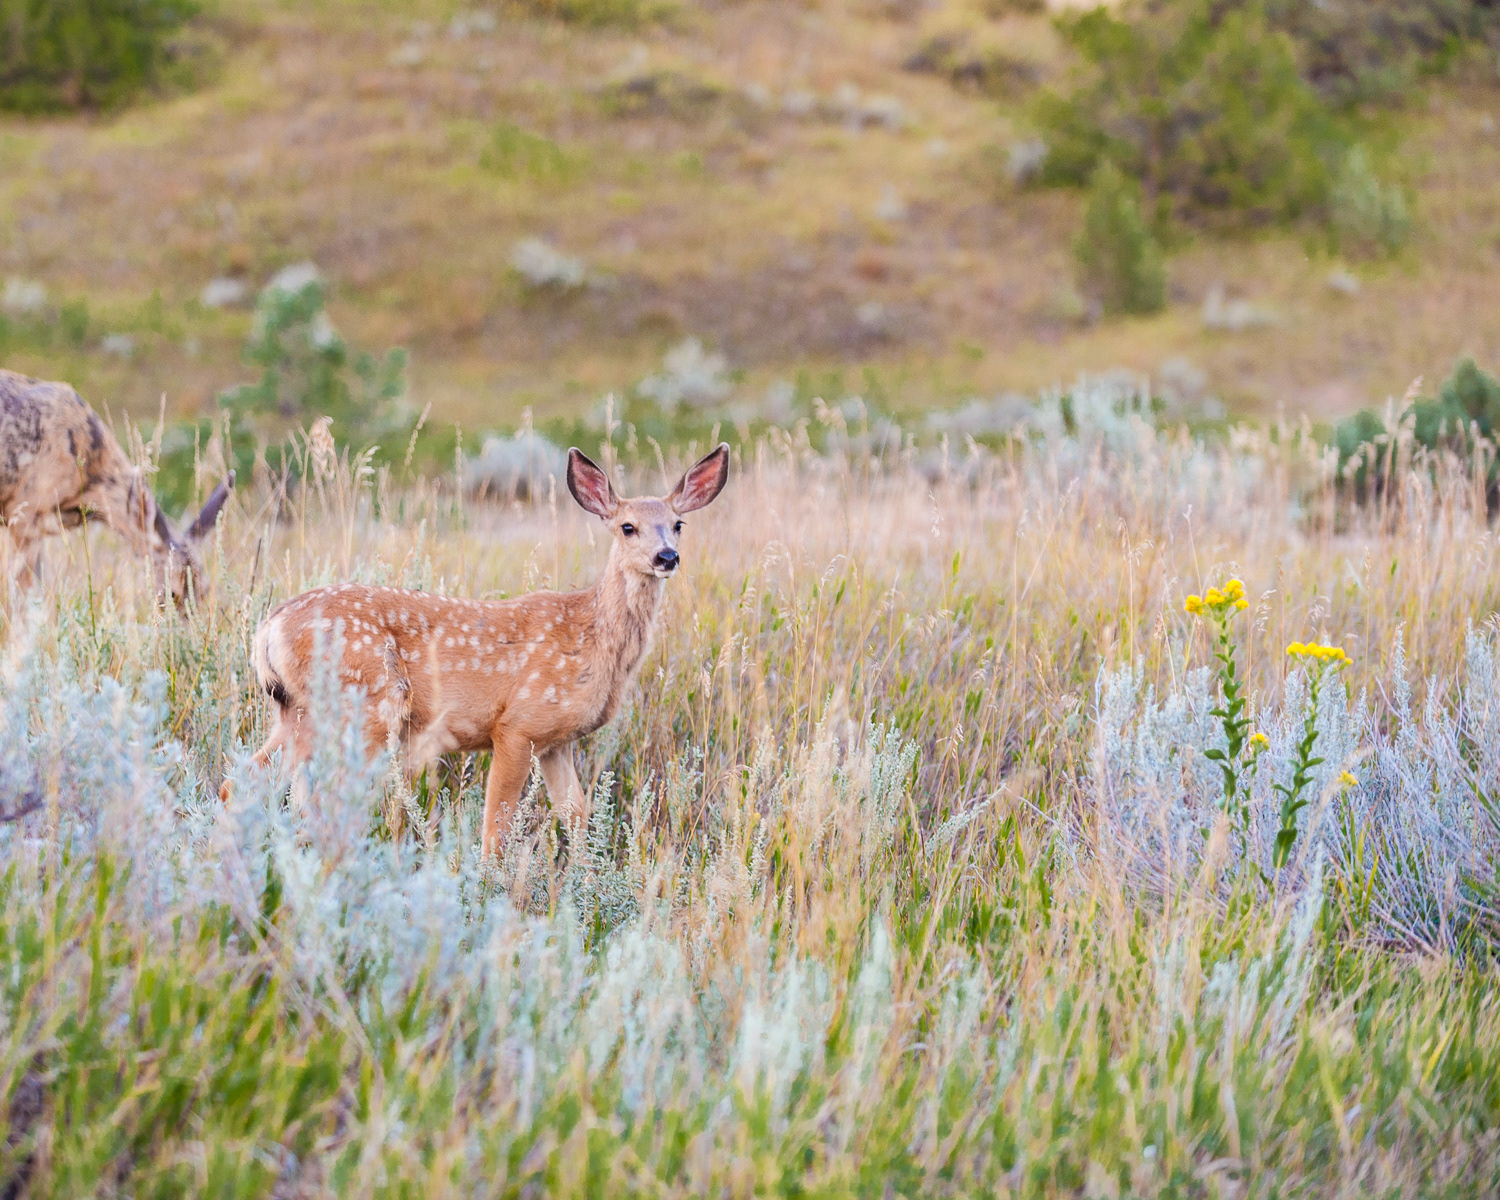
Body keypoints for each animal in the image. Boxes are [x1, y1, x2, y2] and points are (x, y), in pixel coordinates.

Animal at [227, 442, 730, 857]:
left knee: (249, 781)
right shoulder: (516, 725)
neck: (591, 638)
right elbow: (496, 830)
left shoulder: (556, 742)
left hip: (294, 710)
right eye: (628, 527)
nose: (667, 557)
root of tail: (268, 628)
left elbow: (578, 818)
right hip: (361, 706)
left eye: (678, 524)